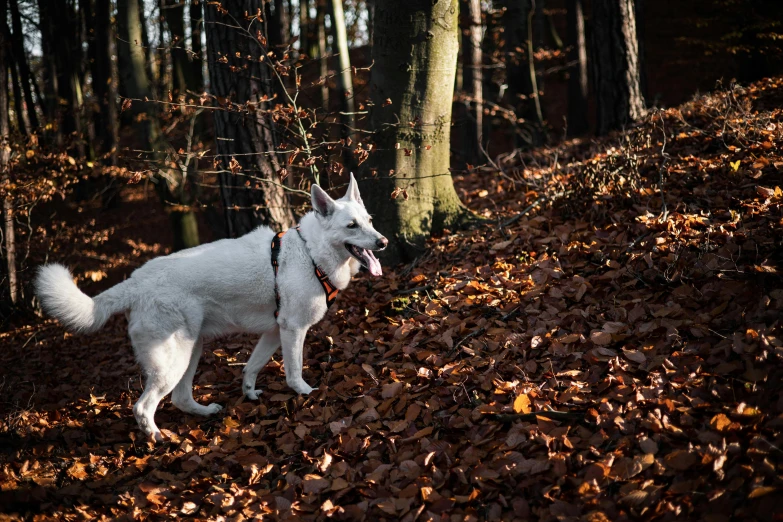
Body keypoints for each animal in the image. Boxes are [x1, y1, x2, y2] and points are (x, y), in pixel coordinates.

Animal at [35, 175, 388, 438]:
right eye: (352, 226)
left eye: (370, 221)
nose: (383, 242)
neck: (310, 253)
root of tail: (136, 280)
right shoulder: (293, 330)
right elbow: (294, 371)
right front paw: (304, 391)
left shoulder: (275, 333)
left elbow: (251, 367)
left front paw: (249, 393)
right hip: (173, 361)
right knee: (143, 406)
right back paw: (156, 437)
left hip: (193, 349)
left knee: (180, 398)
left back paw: (203, 412)